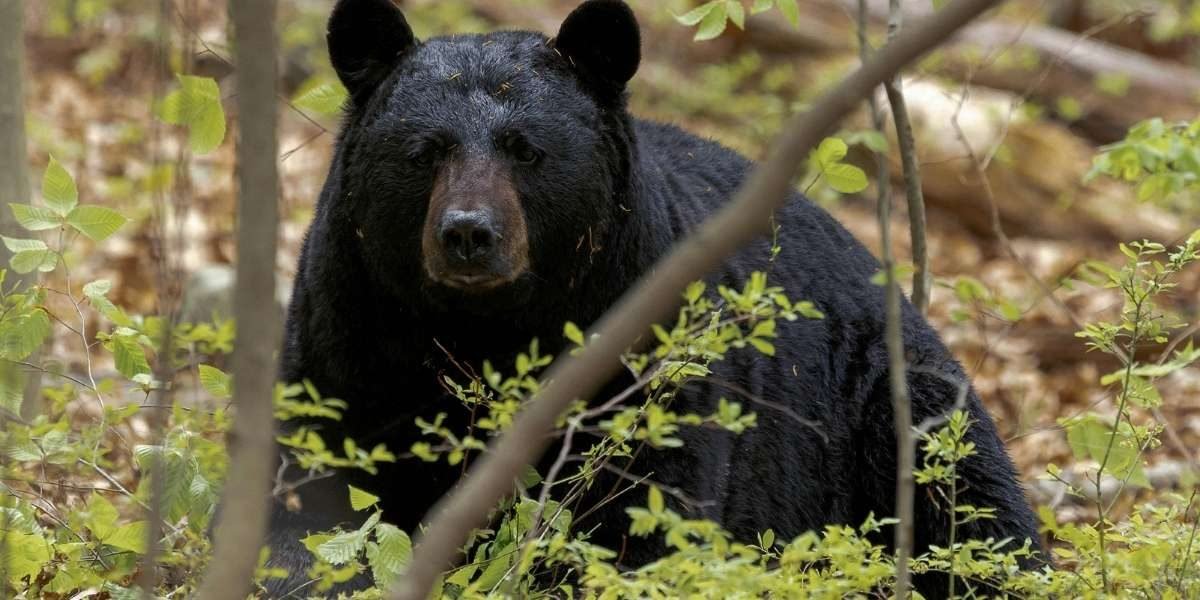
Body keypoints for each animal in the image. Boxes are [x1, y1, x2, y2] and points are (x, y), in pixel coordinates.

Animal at [264, 0, 1043, 596]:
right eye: (424, 151)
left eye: (526, 149)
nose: (467, 234)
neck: (485, 330)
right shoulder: (350, 332)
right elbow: (312, 496)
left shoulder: (645, 356)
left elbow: (644, 514)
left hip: (887, 406)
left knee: (974, 510)